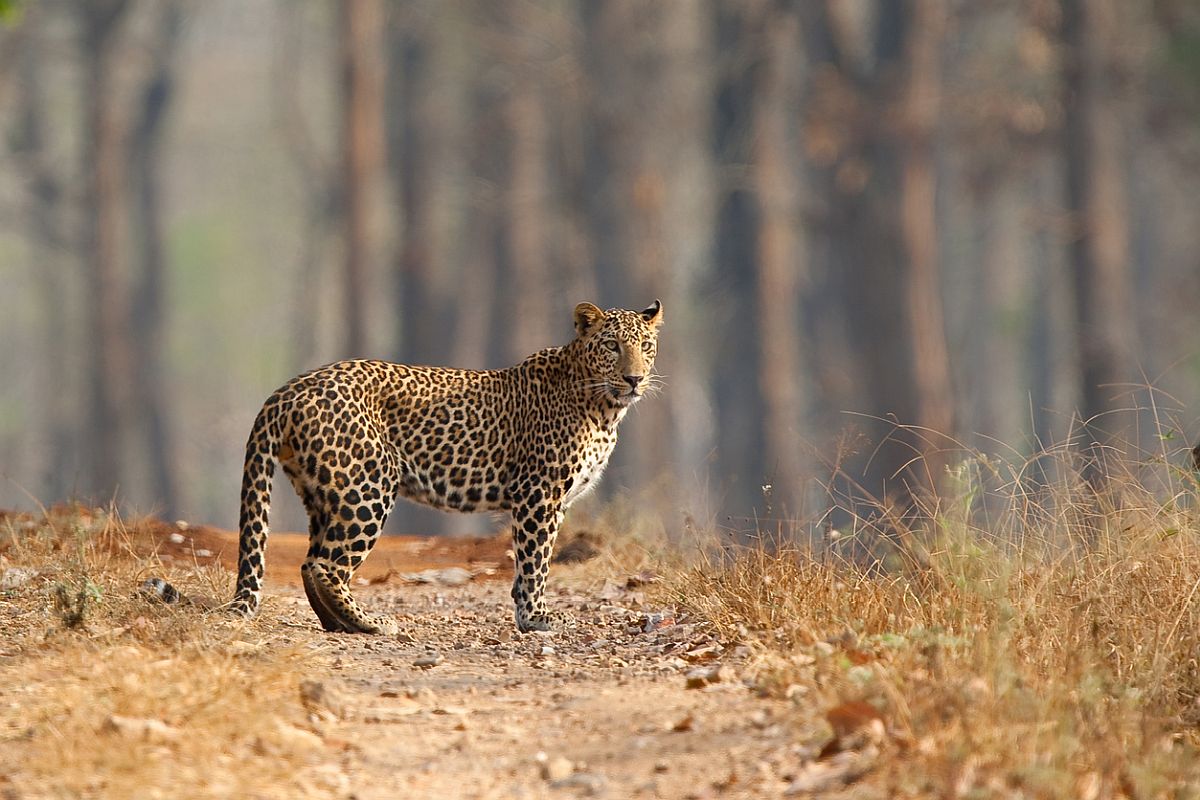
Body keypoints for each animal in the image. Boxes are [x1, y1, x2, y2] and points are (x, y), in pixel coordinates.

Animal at [229, 297, 662, 633]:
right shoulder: (539, 494)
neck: (604, 408)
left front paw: (525, 614)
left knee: (309, 564)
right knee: (326, 566)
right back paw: (371, 623)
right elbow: (536, 560)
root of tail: (288, 390)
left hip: (323, 492)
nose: (634, 378)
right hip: (367, 487)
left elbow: (527, 565)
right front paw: (537, 617)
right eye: (612, 346)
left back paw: (340, 624)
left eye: (645, 345)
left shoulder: (552, 500)